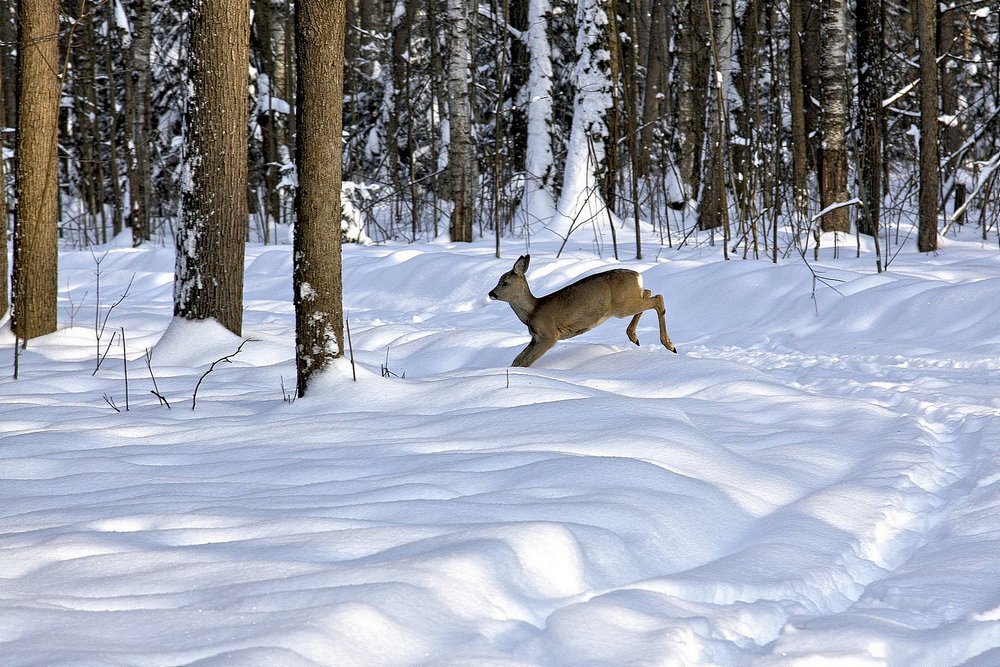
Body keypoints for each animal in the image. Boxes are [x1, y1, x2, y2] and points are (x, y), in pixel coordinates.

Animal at [486, 256, 680, 368]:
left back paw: (670, 345)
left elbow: (525, 362)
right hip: (629, 300)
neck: (532, 311)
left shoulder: (549, 335)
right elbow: (517, 360)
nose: (491, 293)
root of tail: (638, 276)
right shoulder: (534, 338)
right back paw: (634, 337)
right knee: (648, 292)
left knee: (658, 298)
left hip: (623, 306)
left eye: (504, 282)